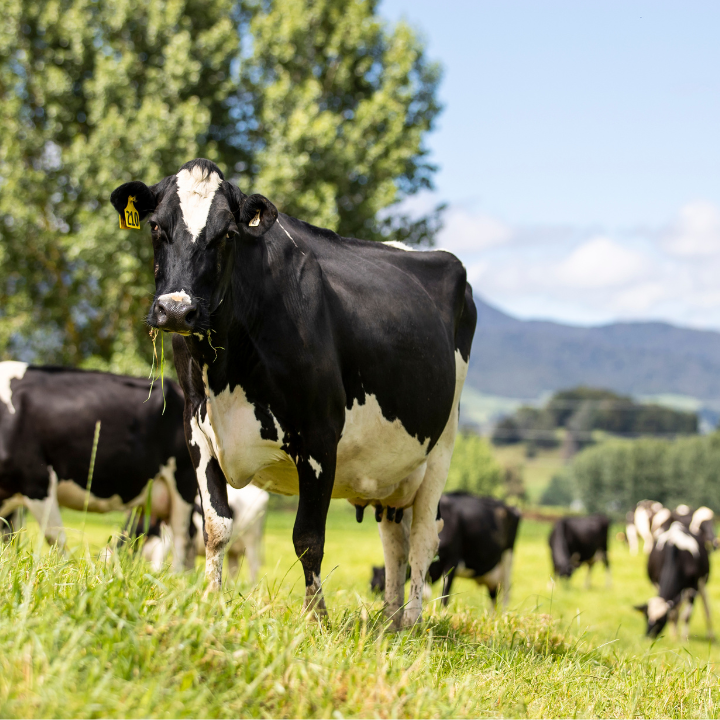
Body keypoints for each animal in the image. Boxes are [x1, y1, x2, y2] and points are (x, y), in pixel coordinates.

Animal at [0, 362, 197, 569]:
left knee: (181, 537)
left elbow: (55, 538)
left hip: (184, 482)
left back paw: (177, 575)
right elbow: (10, 535)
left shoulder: (37, 482)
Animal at [110, 158, 476, 627]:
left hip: (441, 447)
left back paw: (411, 622)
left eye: (227, 234)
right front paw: (211, 602)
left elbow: (308, 537)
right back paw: (389, 622)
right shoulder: (198, 431)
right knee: (394, 538)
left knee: (424, 537)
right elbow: (215, 527)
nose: (176, 309)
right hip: (392, 471)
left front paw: (315, 618)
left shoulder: (319, 438)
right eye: (156, 226)